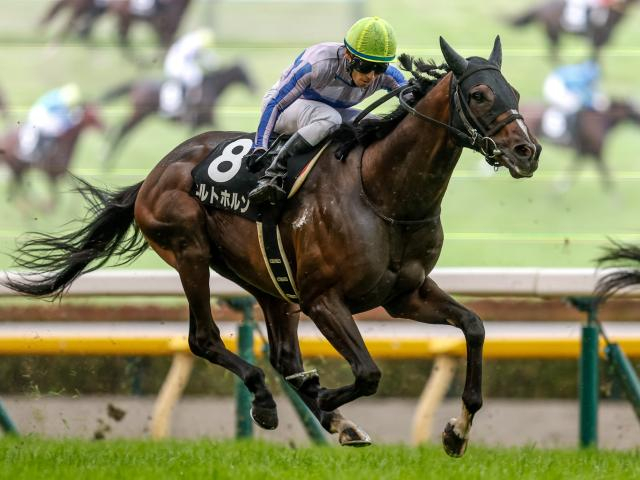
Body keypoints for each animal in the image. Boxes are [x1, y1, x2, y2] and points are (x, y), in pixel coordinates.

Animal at [100, 62, 256, 168]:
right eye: (245, 73)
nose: (255, 87)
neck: (211, 86)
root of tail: (136, 84)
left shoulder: (200, 123)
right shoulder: (207, 120)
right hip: (140, 114)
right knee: (122, 131)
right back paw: (107, 160)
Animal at [509, 0, 638, 62]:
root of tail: (540, 7)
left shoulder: (598, 40)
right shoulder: (596, 38)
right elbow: (595, 58)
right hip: (553, 32)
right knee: (552, 53)